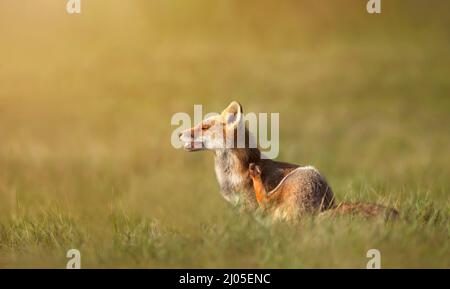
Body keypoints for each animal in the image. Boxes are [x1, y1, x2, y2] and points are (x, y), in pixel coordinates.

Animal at [178, 101, 398, 220]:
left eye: (204, 127)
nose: (179, 134)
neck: (233, 177)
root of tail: (326, 208)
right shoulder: (240, 208)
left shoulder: (252, 207)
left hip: (304, 174)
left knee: (267, 201)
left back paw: (256, 176)